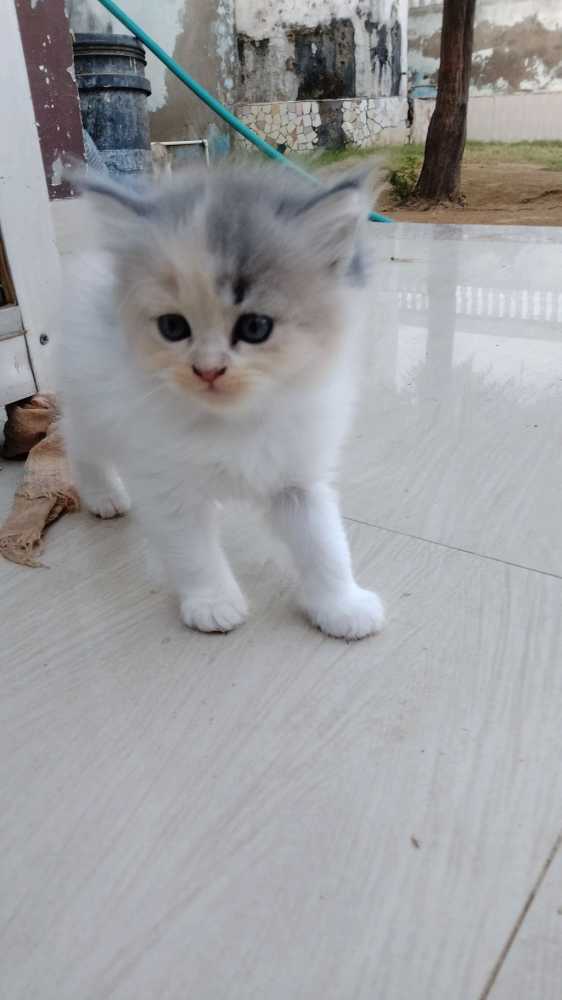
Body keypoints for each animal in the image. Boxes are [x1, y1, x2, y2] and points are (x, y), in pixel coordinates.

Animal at [58, 164, 384, 640]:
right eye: (173, 327)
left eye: (255, 327)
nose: (208, 370)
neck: (234, 423)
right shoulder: (168, 486)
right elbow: (195, 553)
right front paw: (213, 604)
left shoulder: (299, 480)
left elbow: (324, 546)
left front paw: (341, 605)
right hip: (92, 406)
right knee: (78, 444)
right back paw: (104, 496)